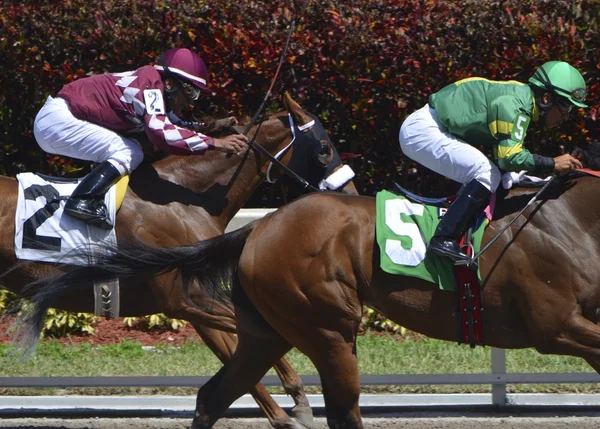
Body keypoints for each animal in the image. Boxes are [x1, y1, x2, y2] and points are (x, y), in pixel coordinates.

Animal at [0, 93, 356, 428]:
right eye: (323, 149)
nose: (350, 195)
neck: (185, 199)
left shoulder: (195, 304)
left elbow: (237, 357)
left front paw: (292, 408)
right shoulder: (183, 300)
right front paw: (297, 406)